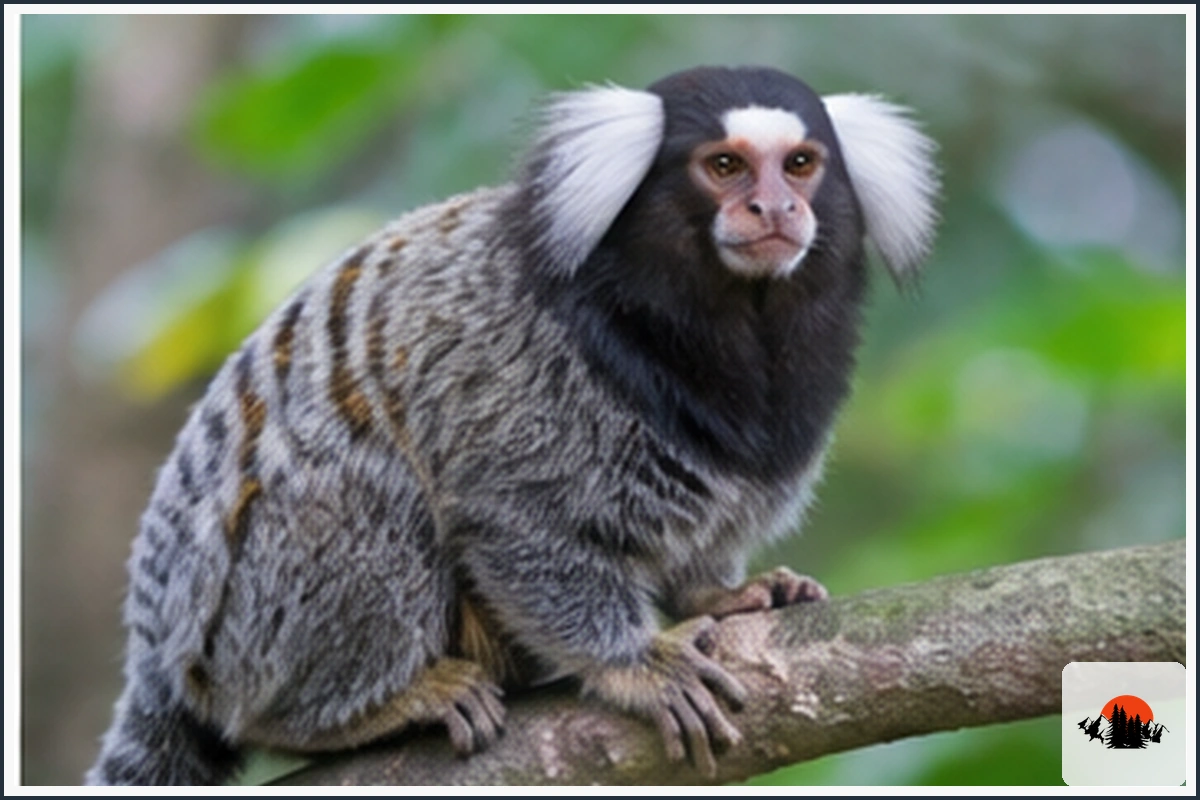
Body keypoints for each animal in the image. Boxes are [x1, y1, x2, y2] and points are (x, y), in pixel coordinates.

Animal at [86, 65, 938, 785]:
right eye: (724, 167)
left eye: (800, 164)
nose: (774, 208)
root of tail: (158, 652)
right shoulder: (518, 373)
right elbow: (516, 525)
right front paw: (634, 663)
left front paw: (720, 592)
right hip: (238, 630)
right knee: (368, 492)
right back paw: (358, 709)